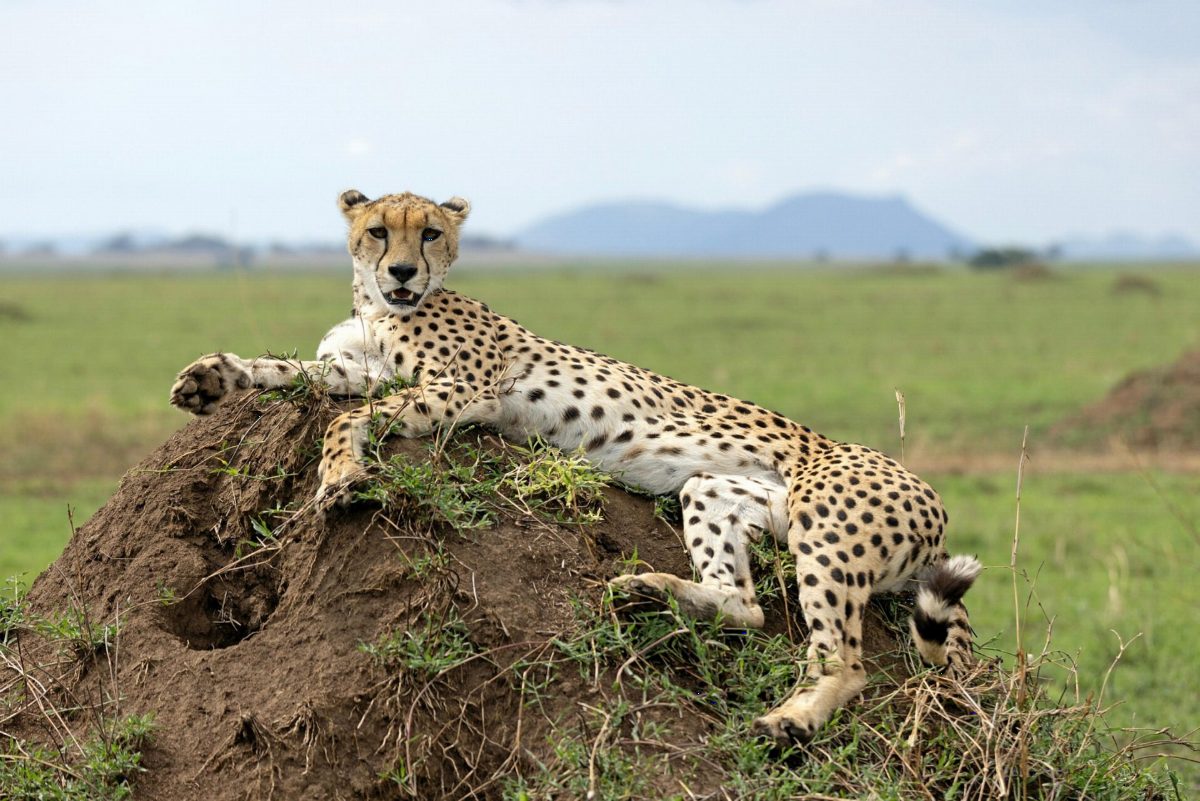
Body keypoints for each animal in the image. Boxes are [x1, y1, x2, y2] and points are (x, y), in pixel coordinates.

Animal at [169, 188, 982, 744]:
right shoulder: (361, 371)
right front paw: (212, 377)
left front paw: (340, 475)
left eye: (429, 231)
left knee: (845, 661)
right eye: (377, 231)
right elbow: (292, 372)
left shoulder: (467, 389)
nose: (401, 270)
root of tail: (934, 506)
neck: (382, 304)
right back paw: (651, 591)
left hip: (827, 524)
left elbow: (341, 416)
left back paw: (789, 718)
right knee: (747, 605)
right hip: (719, 490)